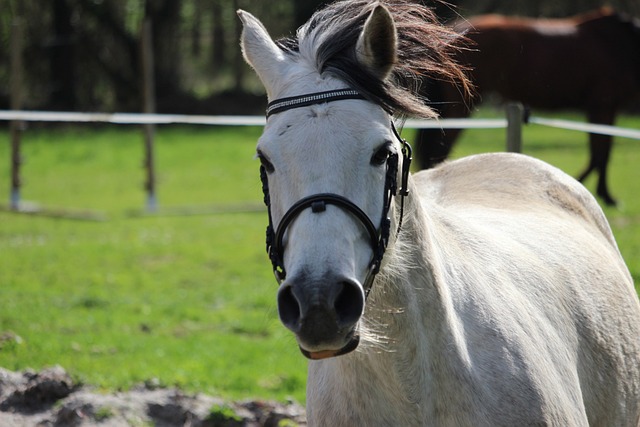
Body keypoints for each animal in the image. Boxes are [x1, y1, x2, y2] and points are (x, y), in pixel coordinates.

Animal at [416, 7, 640, 206]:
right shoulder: (603, 106)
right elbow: (601, 153)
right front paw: (602, 194)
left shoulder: (603, 109)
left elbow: (600, 152)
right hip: (461, 107)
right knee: (441, 148)